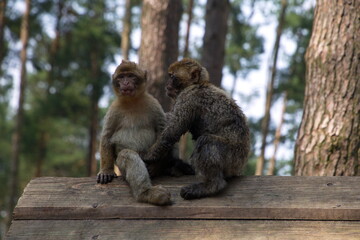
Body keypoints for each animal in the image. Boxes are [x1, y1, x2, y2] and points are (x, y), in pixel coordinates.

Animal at [96, 59, 194, 204]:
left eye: (130, 76)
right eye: (121, 77)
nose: (125, 83)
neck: (132, 102)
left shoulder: (153, 104)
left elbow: (163, 132)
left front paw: (156, 166)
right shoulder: (114, 110)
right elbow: (107, 138)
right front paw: (106, 170)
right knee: (127, 155)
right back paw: (146, 193)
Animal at [142, 58, 249, 201]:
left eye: (172, 76)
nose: (167, 83)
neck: (197, 84)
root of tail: (240, 165)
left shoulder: (188, 97)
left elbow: (173, 130)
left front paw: (148, 156)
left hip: (233, 157)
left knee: (207, 141)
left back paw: (212, 185)